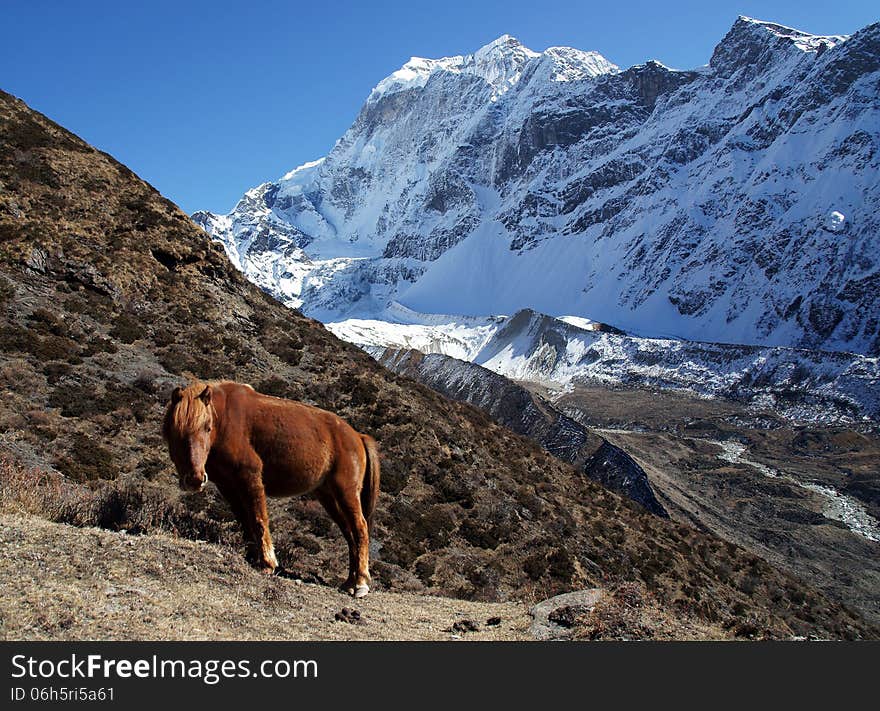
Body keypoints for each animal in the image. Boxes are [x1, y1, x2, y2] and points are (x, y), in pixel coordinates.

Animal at [163, 382, 380, 596]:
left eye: (208, 428)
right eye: (175, 430)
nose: (195, 479)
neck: (225, 421)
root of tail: (358, 436)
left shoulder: (250, 476)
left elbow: (258, 519)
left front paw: (268, 563)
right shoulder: (228, 487)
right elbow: (244, 521)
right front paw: (251, 557)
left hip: (346, 492)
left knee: (360, 528)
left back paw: (360, 583)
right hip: (329, 497)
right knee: (350, 534)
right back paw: (350, 582)